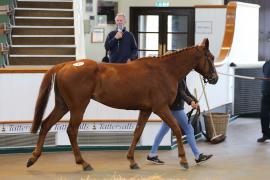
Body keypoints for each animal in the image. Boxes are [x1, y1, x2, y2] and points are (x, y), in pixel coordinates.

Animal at [26, 37, 217, 170]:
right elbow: (177, 129)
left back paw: (33, 158)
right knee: (71, 131)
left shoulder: (146, 110)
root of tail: (66, 65)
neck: (164, 70)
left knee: (46, 124)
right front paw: (183, 160)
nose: (215, 78)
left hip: (63, 106)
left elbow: (137, 133)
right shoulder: (161, 108)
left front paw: (132, 161)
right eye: (211, 57)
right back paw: (83, 163)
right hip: (78, 107)